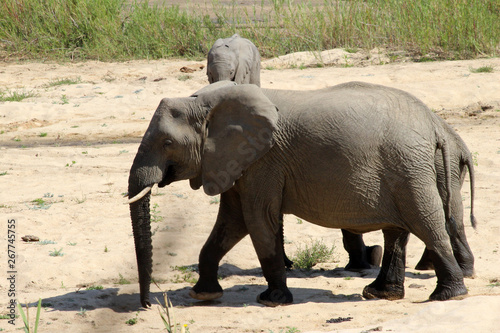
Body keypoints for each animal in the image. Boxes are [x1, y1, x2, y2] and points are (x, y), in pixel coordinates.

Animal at [127, 80, 474, 306]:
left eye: (167, 143)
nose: (147, 305)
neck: (204, 103)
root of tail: (434, 124)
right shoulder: (238, 161)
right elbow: (231, 221)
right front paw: (204, 294)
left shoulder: (264, 160)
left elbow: (258, 219)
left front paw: (272, 300)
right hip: (405, 167)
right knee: (397, 230)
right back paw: (381, 294)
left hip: (408, 167)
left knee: (425, 221)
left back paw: (447, 295)